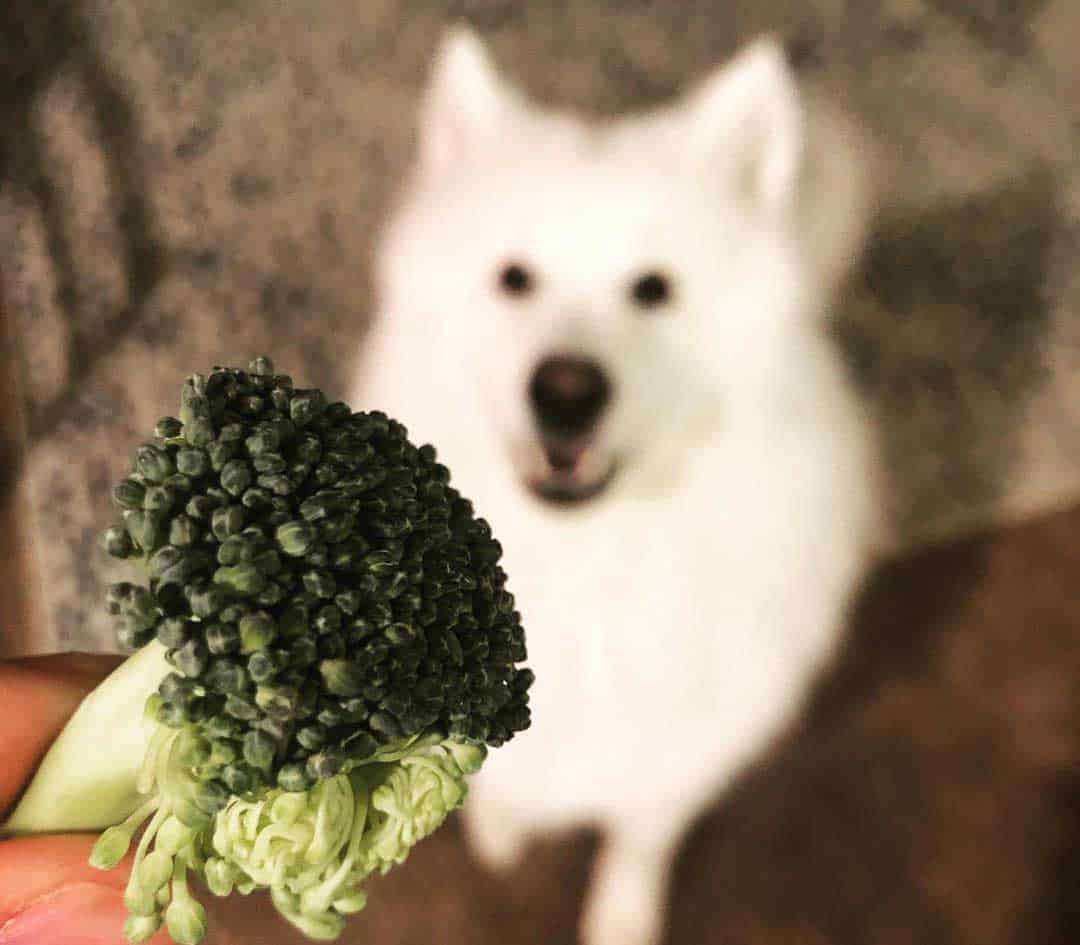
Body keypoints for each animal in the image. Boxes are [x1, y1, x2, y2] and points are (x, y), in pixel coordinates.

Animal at [358, 27, 881, 945]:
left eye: (654, 289)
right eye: (515, 278)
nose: (566, 391)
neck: (586, 564)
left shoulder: (678, 758)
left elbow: (639, 840)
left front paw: (622, 915)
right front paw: (501, 835)